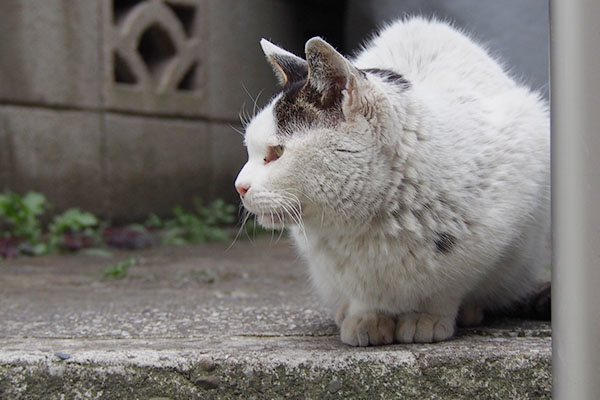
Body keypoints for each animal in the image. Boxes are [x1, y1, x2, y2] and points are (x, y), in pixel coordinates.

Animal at [233, 17, 548, 346]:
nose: (239, 187)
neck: (373, 223)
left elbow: (447, 286)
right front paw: (367, 318)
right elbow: (361, 289)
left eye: (277, 152)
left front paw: (426, 318)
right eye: (250, 149)